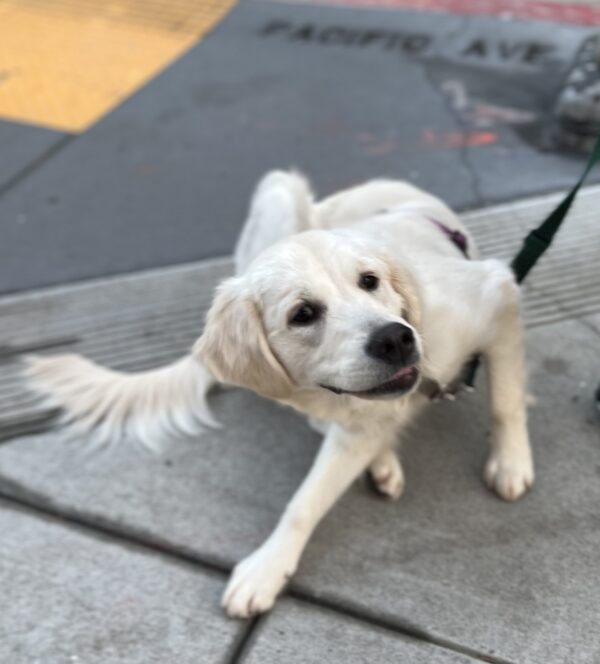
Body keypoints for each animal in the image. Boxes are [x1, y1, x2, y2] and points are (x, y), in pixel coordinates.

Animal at [28, 171, 536, 616]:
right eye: (302, 314)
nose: (396, 339)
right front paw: (267, 568)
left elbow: (505, 401)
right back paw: (380, 457)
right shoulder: (354, 415)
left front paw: (510, 463)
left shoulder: (499, 295)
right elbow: (302, 503)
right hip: (278, 195)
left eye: (369, 281)